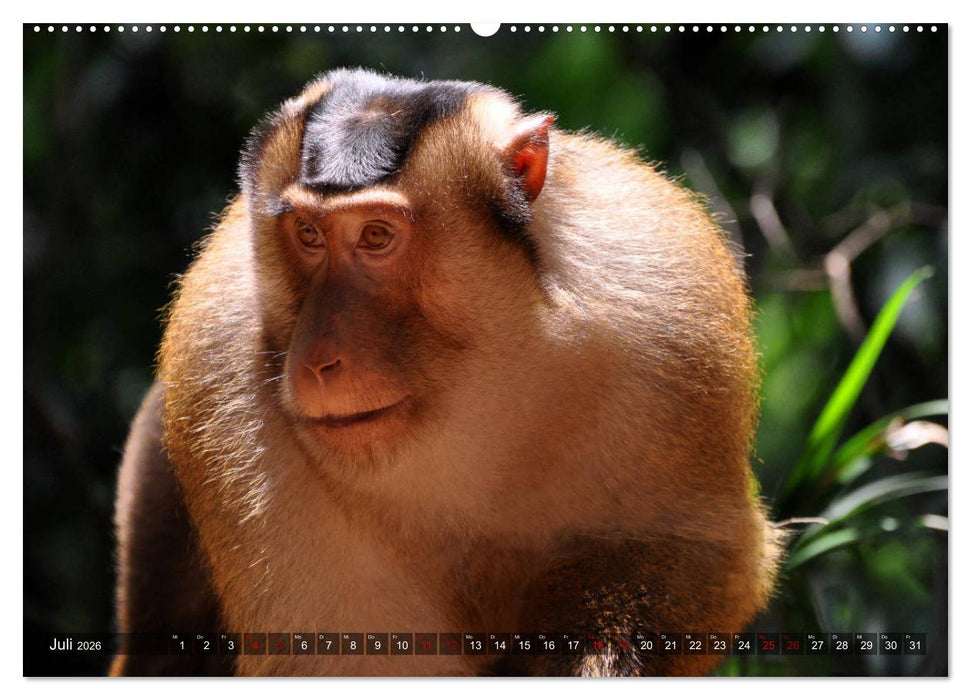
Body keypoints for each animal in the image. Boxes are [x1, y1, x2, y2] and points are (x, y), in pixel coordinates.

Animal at [111, 68, 780, 677]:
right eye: (308, 234)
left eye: (376, 236)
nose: (318, 358)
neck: (482, 373)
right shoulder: (222, 372)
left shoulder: (666, 306)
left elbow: (691, 552)